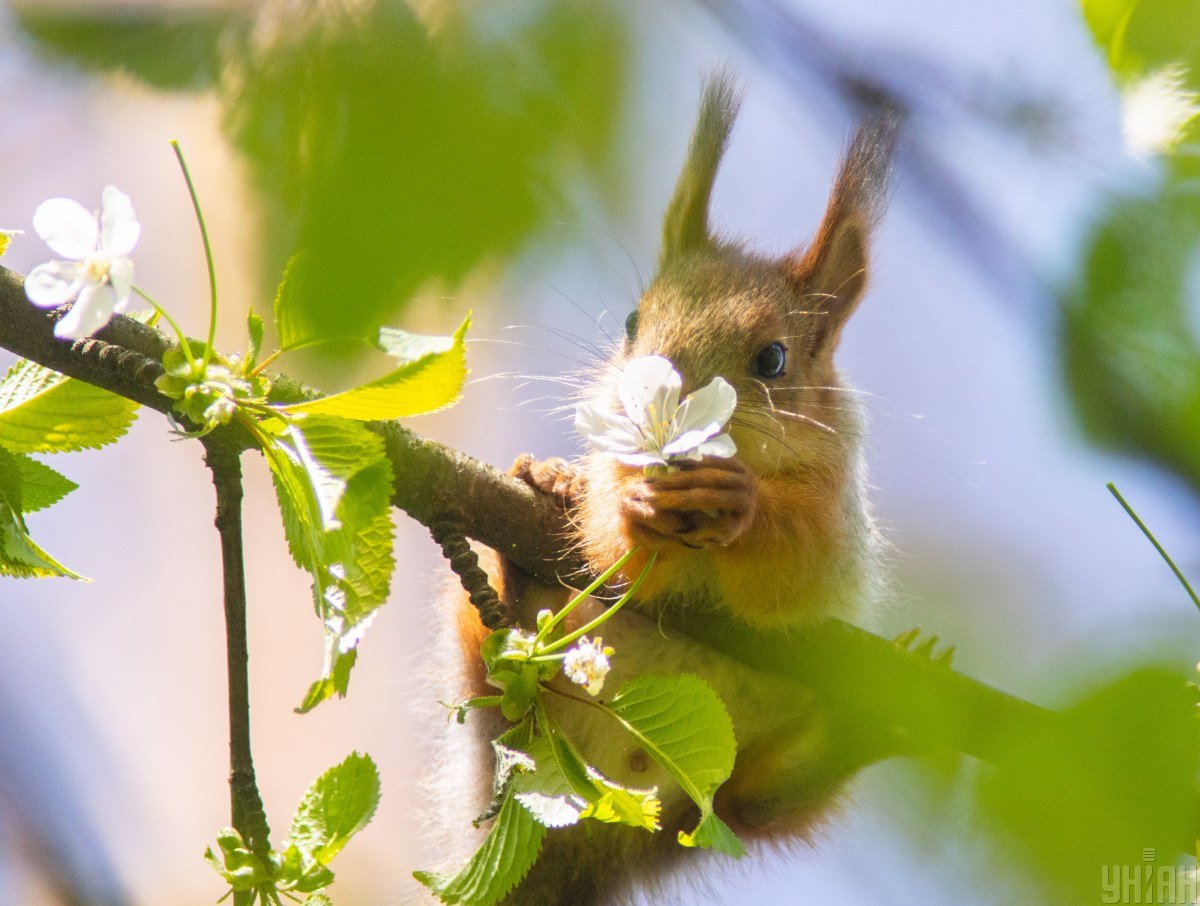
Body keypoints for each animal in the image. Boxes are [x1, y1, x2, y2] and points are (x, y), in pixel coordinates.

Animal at [436, 76, 897, 906]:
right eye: (631, 322)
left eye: (773, 359)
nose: (659, 404)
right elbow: (612, 545)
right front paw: (619, 502)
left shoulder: (837, 508)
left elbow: (801, 573)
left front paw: (744, 508)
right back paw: (521, 549)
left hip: (738, 795)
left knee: (761, 803)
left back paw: (857, 735)